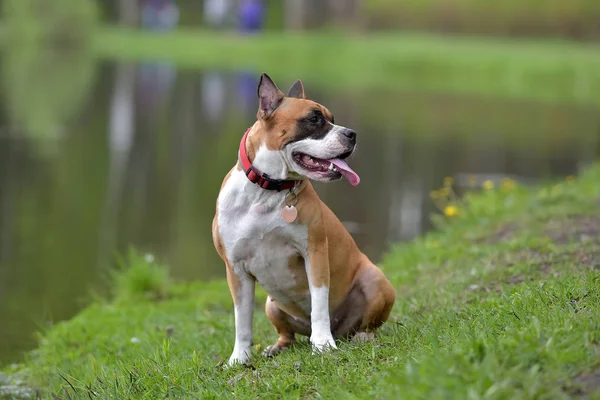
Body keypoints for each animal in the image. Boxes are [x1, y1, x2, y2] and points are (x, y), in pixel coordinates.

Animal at [213, 72, 396, 366]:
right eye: (314, 119)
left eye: (331, 117)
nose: (352, 134)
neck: (268, 190)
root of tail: (341, 330)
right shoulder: (236, 270)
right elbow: (242, 320)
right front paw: (239, 358)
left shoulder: (315, 254)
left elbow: (319, 304)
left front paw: (322, 344)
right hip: (271, 304)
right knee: (287, 334)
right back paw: (277, 347)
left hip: (375, 280)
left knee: (365, 325)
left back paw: (359, 336)